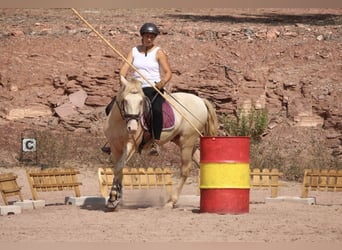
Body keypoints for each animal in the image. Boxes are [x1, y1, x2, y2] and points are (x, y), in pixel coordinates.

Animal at [103, 75, 218, 209]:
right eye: (125, 101)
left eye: (141, 102)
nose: (133, 128)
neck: (120, 122)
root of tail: (200, 100)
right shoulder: (115, 146)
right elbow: (118, 169)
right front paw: (116, 198)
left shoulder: (131, 145)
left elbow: (119, 168)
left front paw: (113, 198)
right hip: (182, 141)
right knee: (200, 162)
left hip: (187, 140)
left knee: (185, 169)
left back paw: (171, 201)